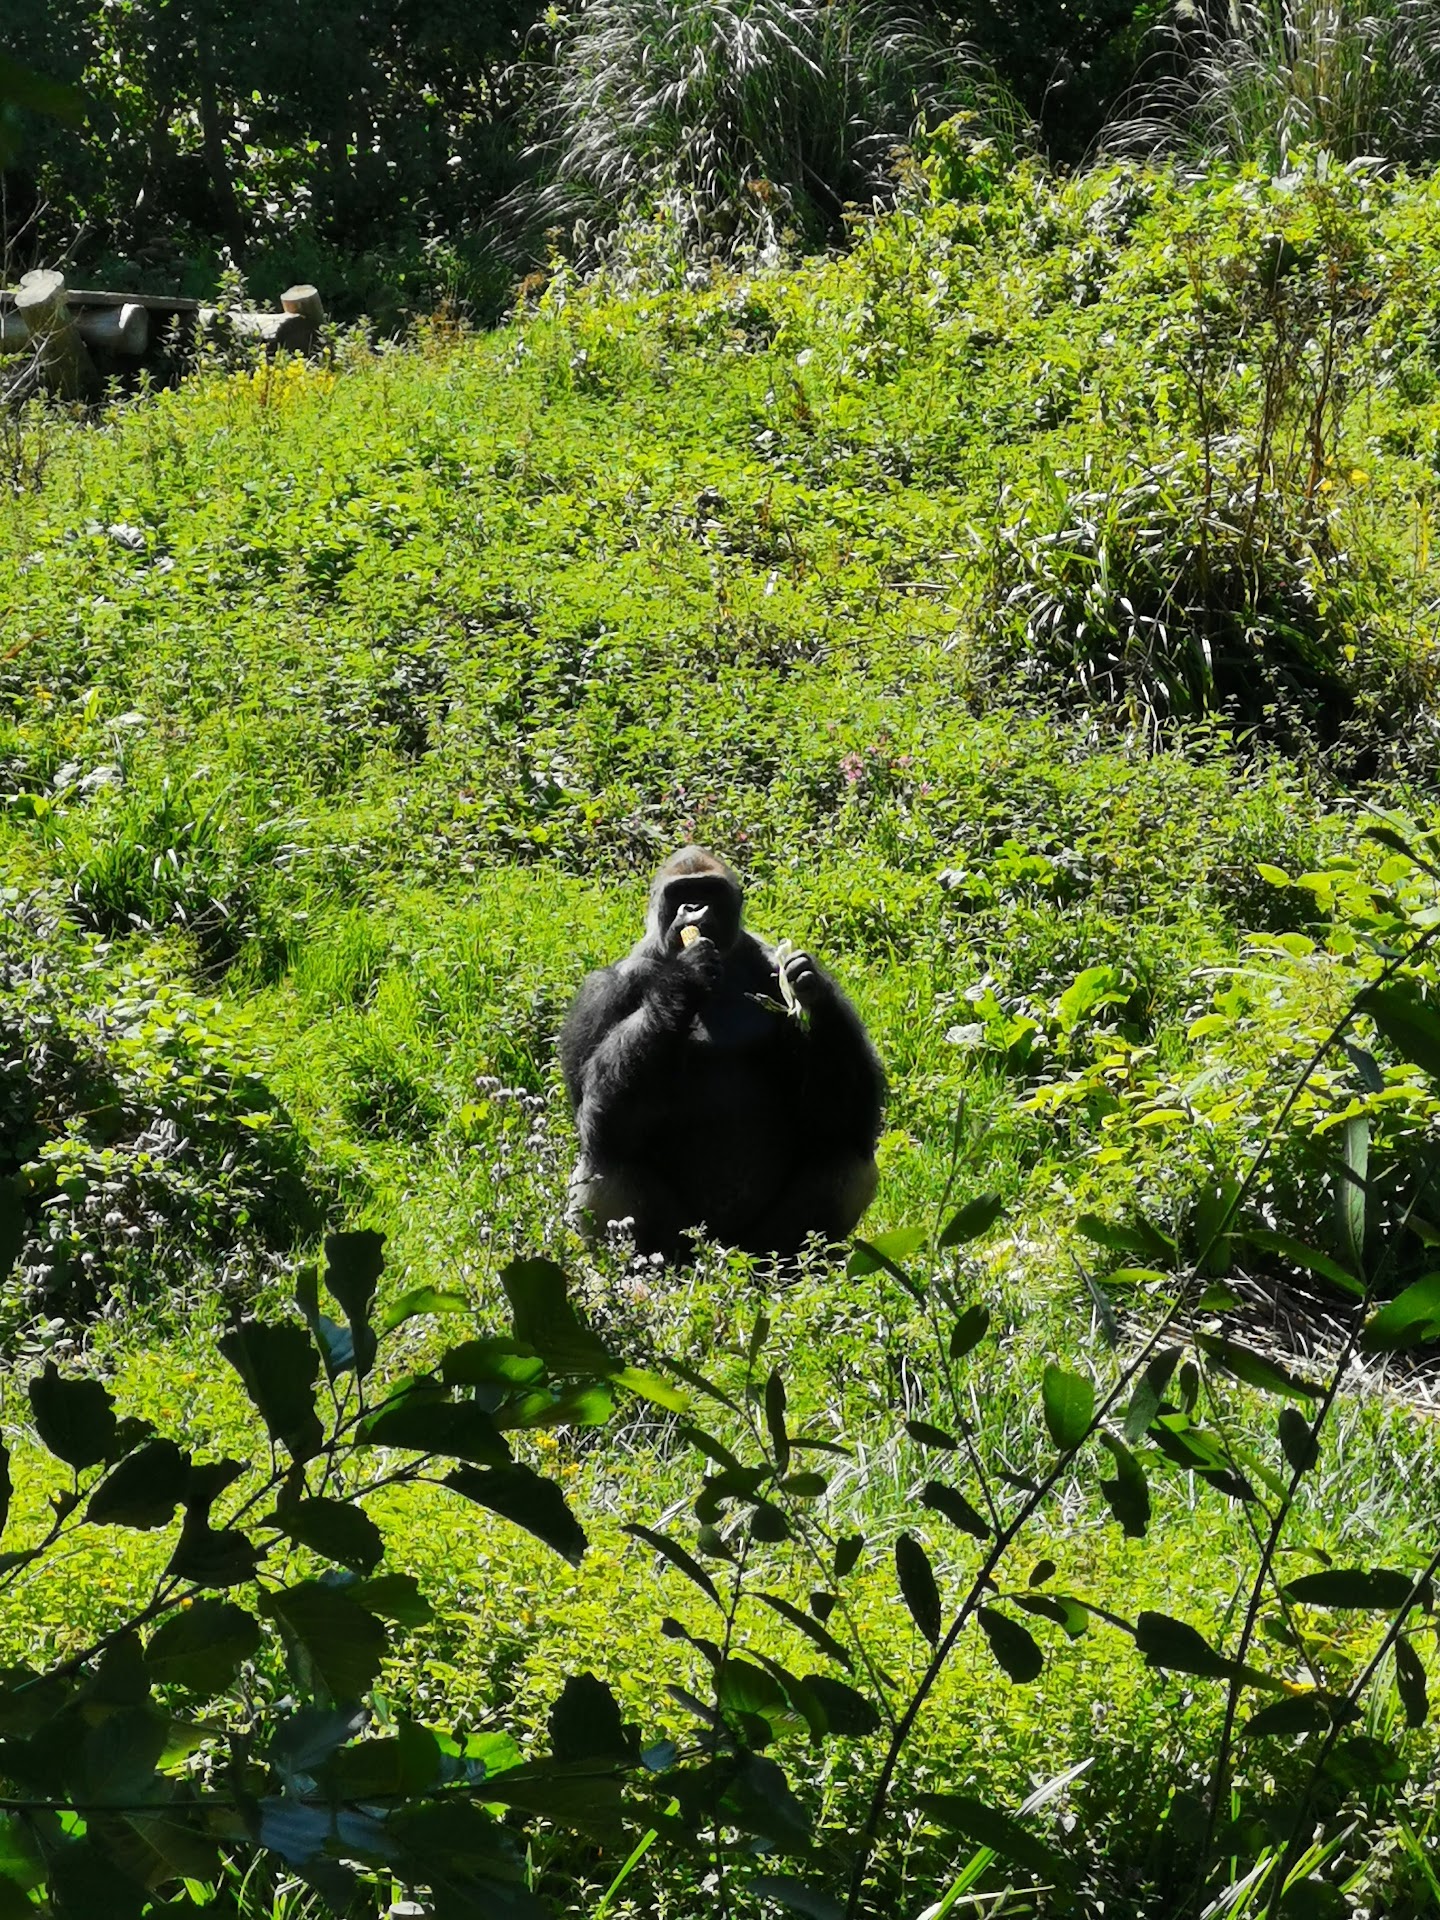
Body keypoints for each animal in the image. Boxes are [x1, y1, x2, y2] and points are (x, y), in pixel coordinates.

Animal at [559, 847, 885, 1261]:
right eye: (682, 893)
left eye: (708, 892)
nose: (694, 907)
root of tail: (725, 1253)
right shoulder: (604, 989)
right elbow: (601, 1119)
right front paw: (683, 980)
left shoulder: (768, 967)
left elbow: (841, 1119)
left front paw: (813, 987)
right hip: (685, 1246)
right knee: (607, 1161)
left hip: (758, 1247)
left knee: (844, 1154)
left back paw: (803, 1262)